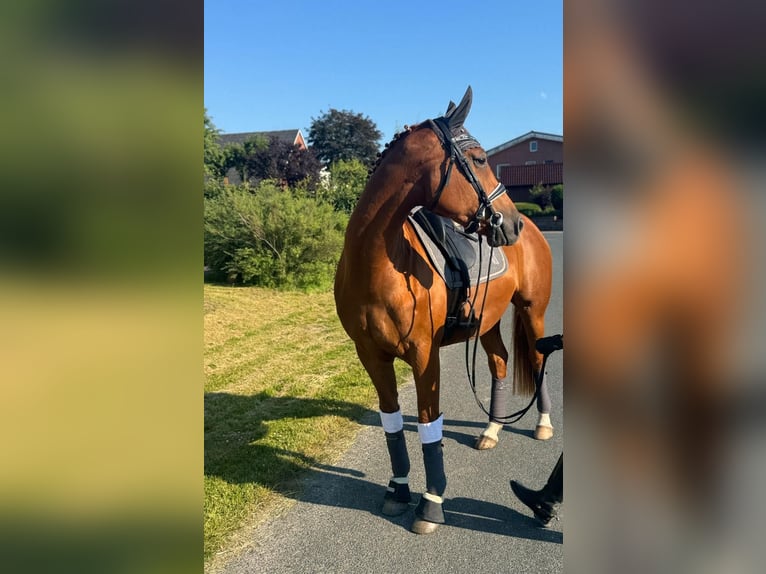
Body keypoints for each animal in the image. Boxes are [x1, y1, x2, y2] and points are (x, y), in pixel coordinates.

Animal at [336, 88, 552, 536]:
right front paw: (398, 490)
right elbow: (392, 423)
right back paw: (491, 430)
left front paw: (431, 504)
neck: (376, 264)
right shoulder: (372, 356)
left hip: (532, 313)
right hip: (488, 322)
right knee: (500, 362)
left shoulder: (424, 356)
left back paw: (543, 425)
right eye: (481, 159)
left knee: (539, 360)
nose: (513, 223)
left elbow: (428, 426)